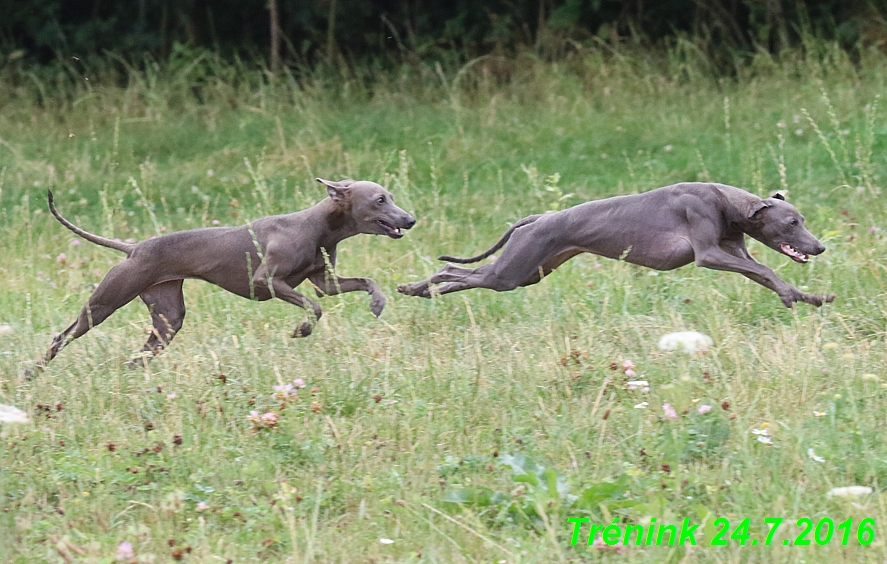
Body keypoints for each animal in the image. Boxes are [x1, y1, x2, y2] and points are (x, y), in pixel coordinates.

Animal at [33, 178, 416, 372]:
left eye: (391, 197)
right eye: (380, 200)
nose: (410, 219)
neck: (319, 225)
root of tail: (134, 248)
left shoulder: (326, 283)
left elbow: (361, 284)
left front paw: (378, 303)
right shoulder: (266, 282)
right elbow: (314, 307)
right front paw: (301, 330)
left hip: (168, 316)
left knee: (142, 352)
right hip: (106, 302)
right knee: (62, 335)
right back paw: (33, 371)